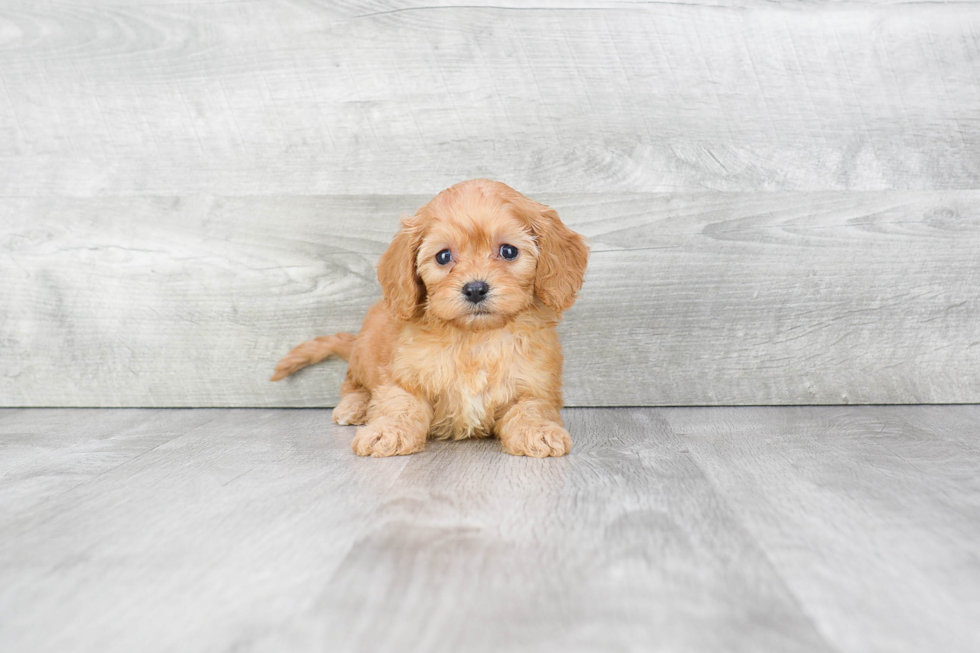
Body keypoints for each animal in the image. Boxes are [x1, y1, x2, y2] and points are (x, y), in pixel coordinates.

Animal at [270, 178, 588, 458]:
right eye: (443, 256)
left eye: (508, 251)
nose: (475, 289)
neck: (476, 338)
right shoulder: (403, 375)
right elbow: (400, 404)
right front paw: (388, 431)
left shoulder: (535, 384)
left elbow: (531, 408)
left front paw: (539, 431)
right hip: (364, 353)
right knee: (352, 384)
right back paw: (354, 407)